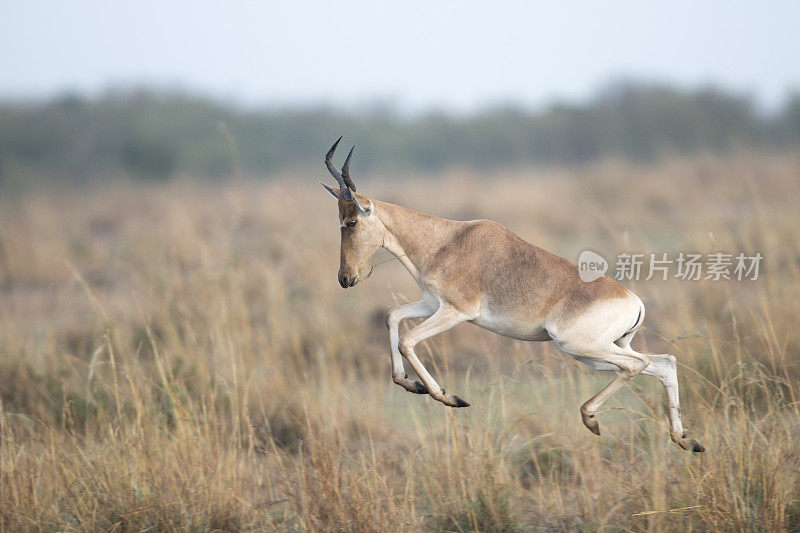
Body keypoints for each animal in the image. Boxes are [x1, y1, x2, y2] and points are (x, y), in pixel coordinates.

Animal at [322, 135, 704, 450]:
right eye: (340, 220)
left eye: (351, 221)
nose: (345, 278)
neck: (448, 239)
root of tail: (634, 301)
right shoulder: (433, 304)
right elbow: (392, 317)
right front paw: (410, 384)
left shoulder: (457, 312)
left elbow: (407, 339)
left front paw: (448, 397)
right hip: (601, 352)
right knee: (663, 363)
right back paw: (686, 441)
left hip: (579, 346)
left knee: (638, 365)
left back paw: (591, 419)